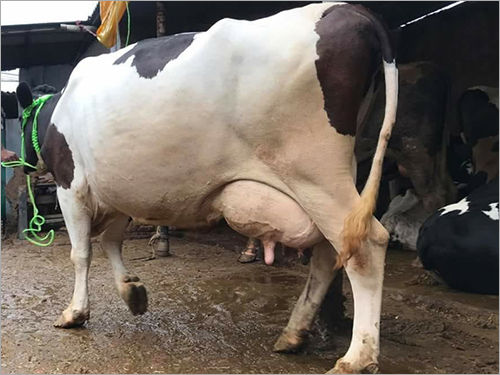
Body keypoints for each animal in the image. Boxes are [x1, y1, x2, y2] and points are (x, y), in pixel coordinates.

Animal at [16, 4, 398, 374]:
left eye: (20, 121)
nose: (24, 166)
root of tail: (344, 9)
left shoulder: (72, 183)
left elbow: (81, 252)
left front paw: (74, 312)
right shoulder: (116, 189)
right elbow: (111, 241)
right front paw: (132, 292)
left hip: (315, 171)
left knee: (366, 244)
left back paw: (357, 357)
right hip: (332, 174)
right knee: (330, 251)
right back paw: (293, 334)